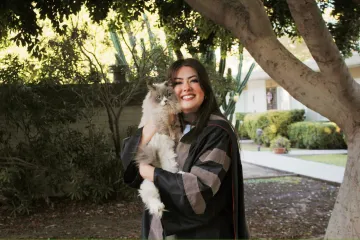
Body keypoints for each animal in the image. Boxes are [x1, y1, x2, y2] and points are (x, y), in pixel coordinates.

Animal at [135, 80, 181, 218]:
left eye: (168, 94)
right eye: (159, 97)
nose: (165, 101)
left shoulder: (174, 120)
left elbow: (174, 128)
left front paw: (174, 135)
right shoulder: (157, 119)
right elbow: (163, 127)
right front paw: (167, 133)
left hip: (168, 162)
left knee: (171, 175)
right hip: (150, 184)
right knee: (151, 198)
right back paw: (159, 208)